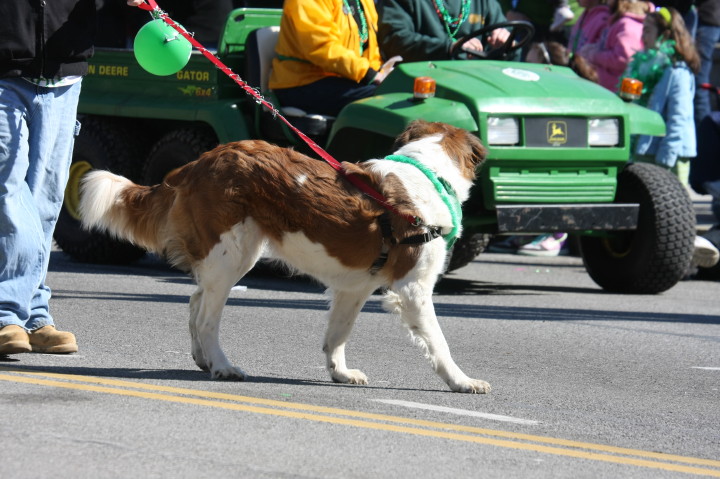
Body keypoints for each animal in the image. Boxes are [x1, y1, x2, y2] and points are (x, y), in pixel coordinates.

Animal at [79, 120, 490, 393]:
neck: (428, 174)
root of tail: (197, 163)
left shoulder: (353, 288)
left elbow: (337, 334)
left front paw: (340, 373)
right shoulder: (413, 289)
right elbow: (439, 342)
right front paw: (461, 380)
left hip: (229, 256)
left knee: (196, 300)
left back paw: (202, 359)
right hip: (234, 254)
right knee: (208, 316)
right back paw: (222, 366)